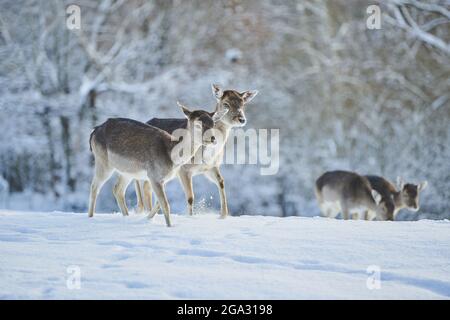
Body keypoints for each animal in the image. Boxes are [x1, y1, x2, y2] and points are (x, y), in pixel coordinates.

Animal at [87, 101, 229, 226]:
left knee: (117, 190)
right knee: (94, 187)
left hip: (127, 171)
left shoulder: (163, 178)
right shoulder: (153, 175)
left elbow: (159, 203)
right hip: (103, 162)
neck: (171, 153)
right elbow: (165, 204)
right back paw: (91, 217)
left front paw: (147, 218)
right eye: (198, 124)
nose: (213, 138)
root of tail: (94, 131)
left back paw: (126, 216)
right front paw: (169, 226)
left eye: (213, 123)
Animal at [134, 84, 258, 219]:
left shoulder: (211, 166)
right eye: (226, 104)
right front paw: (191, 217)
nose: (241, 119)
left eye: (243, 103)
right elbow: (190, 197)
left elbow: (221, 182)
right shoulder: (184, 169)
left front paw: (223, 215)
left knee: (146, 187)